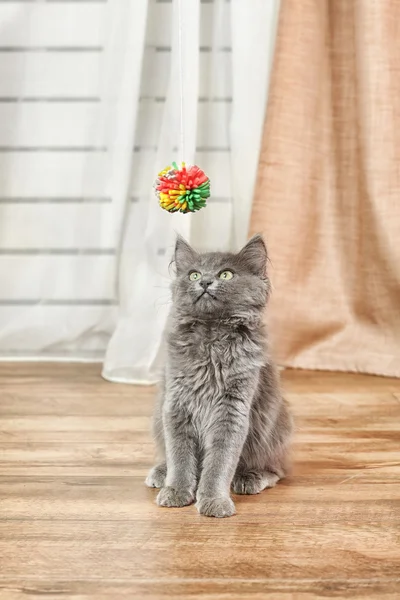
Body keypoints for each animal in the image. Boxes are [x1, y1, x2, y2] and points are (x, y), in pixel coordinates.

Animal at [145, 234, 292, 516]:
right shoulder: (175, 404)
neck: (212, 335)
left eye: (226, 274)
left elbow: (219, 463)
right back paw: (161, 472)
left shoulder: (231, 409)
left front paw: (214, 501)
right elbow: (179, 456)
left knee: (277, 470)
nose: (204, 281)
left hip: (274, 427)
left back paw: (250, 478)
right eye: (193, 274)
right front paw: (176, 490)